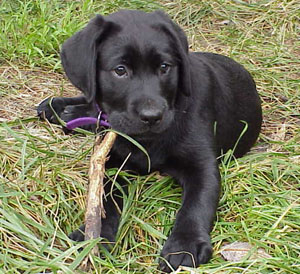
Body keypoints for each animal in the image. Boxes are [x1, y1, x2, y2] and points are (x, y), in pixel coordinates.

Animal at [37, 10, 262, 272]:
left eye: (164, 67)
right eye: (120, 70)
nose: (152, 116)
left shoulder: (202, 166)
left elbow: (197, 205)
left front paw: (185, 245)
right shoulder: (110, 163)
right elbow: (103, 201)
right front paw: (95, 234)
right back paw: (60, 108)